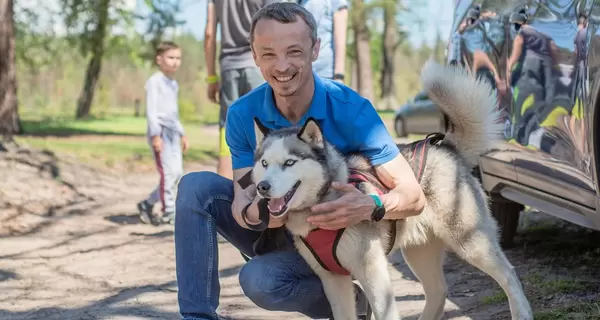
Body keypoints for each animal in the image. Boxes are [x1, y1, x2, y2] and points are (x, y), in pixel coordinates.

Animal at [251, 61, 532, 318]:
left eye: (289, 163)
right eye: (264, 163)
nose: (262, 187)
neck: (321, 201)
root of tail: (446, 148)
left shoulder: (372, 270)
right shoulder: (333, 281)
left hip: (469, 241)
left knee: (509, 274)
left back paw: (522, 312)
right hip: (420, 252)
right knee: (438, 292)